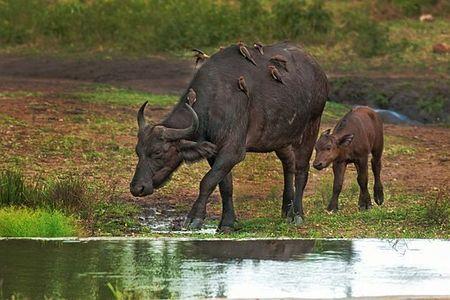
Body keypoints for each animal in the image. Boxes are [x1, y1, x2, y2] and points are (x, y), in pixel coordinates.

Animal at [129, 41, 326, 231]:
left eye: (157, 153)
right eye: (138, 152)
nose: (137, 188)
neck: (215, 101)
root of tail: (318, 70)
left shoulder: (233, 151)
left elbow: (207, 181)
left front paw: (194, 218)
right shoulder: (214, 152)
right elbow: (225, 186)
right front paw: (227, 222)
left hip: (312, 126)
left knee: (301, 169)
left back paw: (297, 214)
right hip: (280, 137)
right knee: (288, 164)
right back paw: (286, 209)